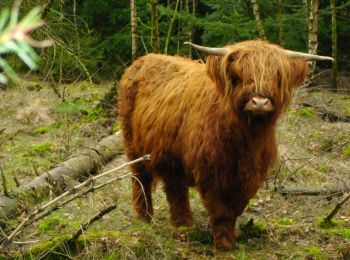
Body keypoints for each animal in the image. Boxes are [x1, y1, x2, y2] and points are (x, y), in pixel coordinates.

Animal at [118, 40, 334, 250]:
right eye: (239, 76)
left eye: (277, 77)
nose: (260, 102)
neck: (246, 140)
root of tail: (142, 60)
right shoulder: (210, 171)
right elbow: (220, 210)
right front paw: (223, 245)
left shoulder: (250, 175)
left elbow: (235, 208)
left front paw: (231, 237)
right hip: (133, 146)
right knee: (141, 180)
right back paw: (149, 218)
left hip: (172, 156)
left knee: (175, 188)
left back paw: (184, 226)